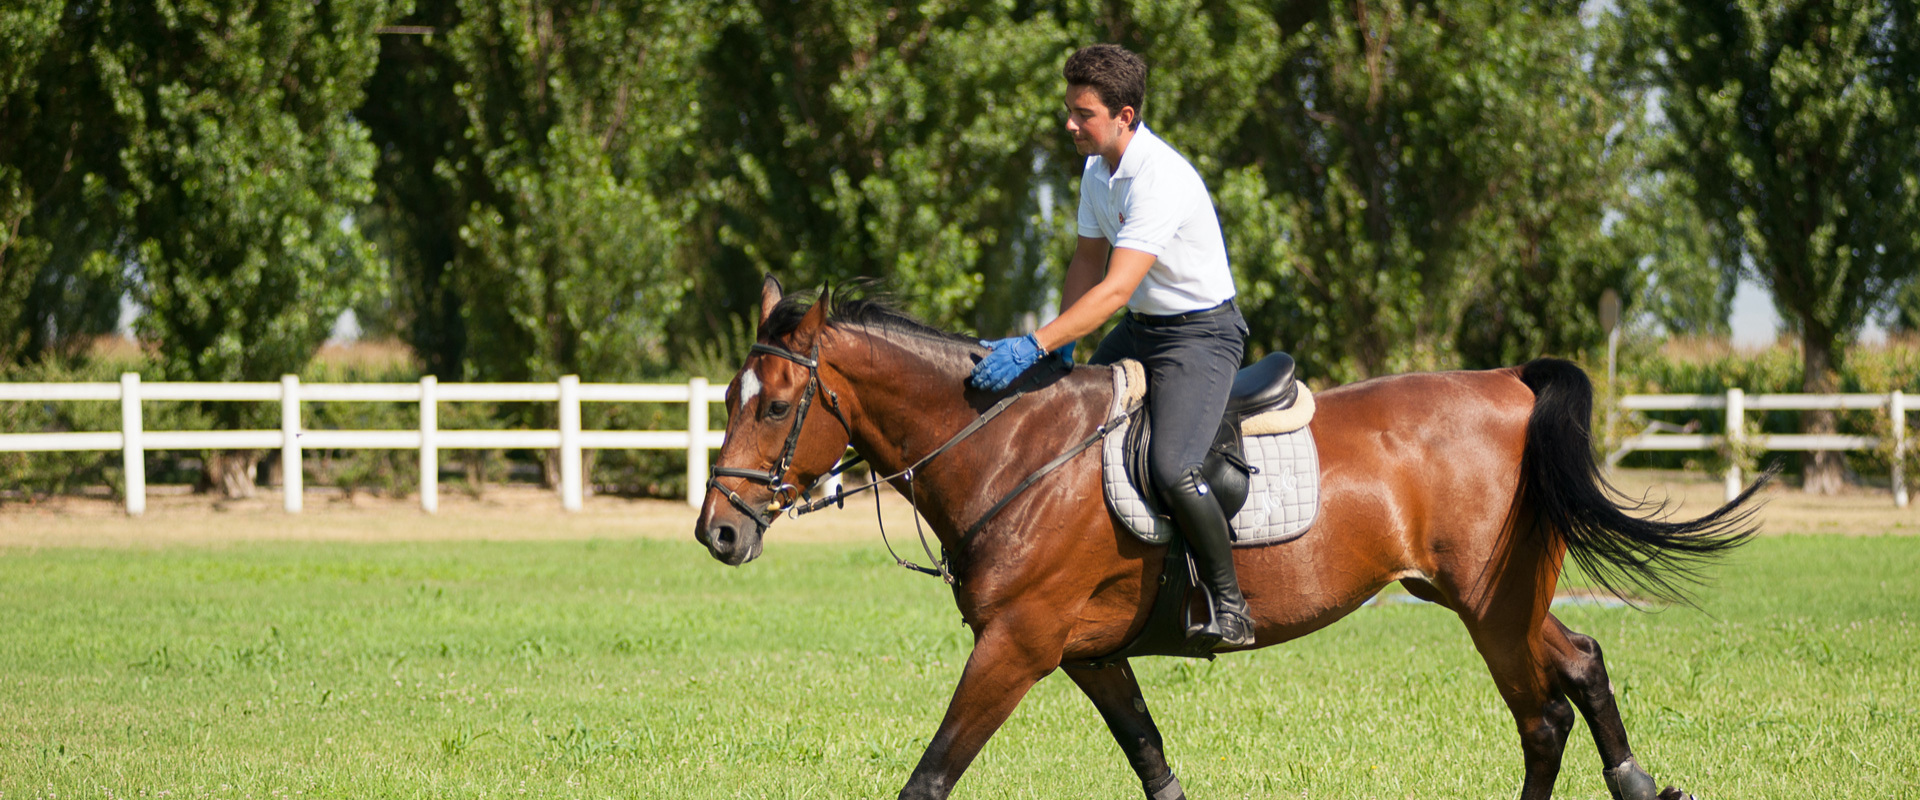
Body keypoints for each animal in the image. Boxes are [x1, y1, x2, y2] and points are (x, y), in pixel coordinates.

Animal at [698, 278, 1758, 798]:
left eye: (778, 405)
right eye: (730, 397)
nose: (718, 532)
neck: (1007, 447)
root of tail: (1509, 381)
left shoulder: (1016, 646)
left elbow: (930, 776)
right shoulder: (1087, 654)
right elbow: (1151, 759)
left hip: (1491, 600)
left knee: (1553, 698)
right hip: (1490, 597)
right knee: (1567, 681)